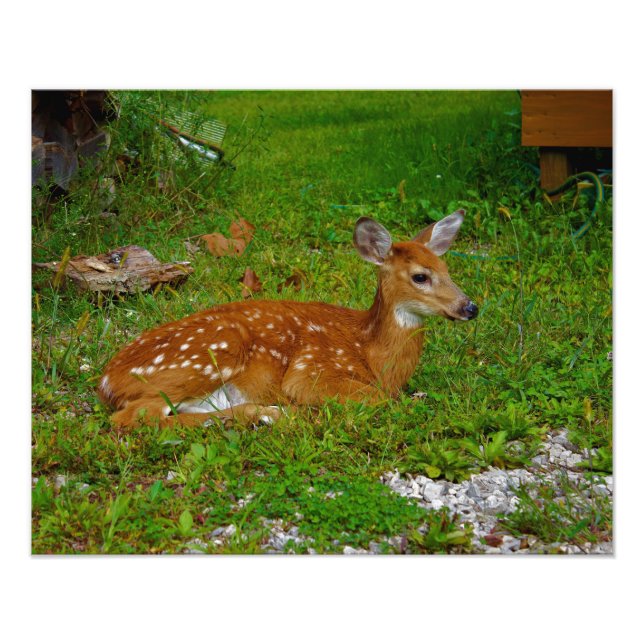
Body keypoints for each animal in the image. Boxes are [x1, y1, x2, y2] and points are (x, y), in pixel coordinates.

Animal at [98, 209, 478, 429]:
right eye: (420, 277)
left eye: (447, 269)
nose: (470, 307)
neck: (372, 353)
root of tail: (106, 382)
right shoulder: (311, 370)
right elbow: (379, 399)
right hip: (211, 352)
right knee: (132, 419)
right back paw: (272, 415)